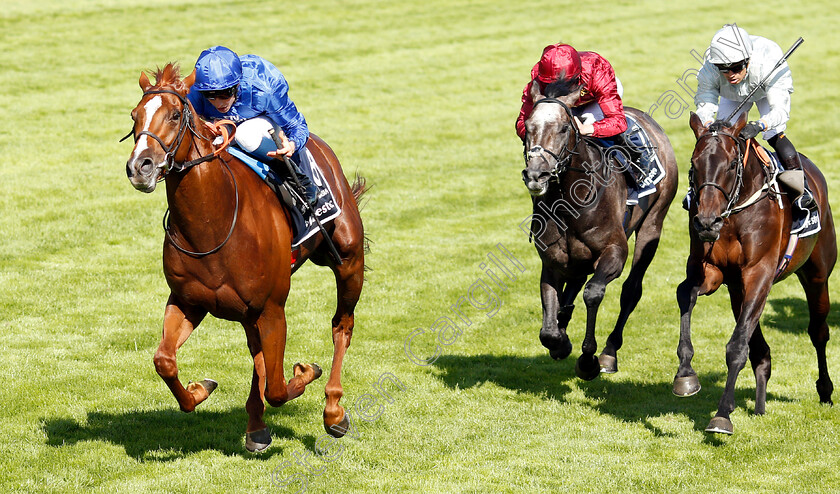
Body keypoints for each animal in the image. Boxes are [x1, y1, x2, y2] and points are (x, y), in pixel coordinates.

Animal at [122, 64, 368, 452]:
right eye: (134, 116)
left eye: (175, 115)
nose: (140, 166)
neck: (213, 222)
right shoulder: (188, 301)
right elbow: (164, 360)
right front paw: (199, 390)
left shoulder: (272, 308)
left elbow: (279, 388)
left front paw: (305, 371)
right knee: (258, 354)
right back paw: (256, 427)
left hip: (348, 261)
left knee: (341, 326)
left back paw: (333, 412)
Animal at [680, 111, 836, 432]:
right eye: (694, 164)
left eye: (730, 164)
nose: (706, 222)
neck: (735, 213)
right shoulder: (712, 271)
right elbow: (684, 293)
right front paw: (685, 374)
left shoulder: (759, 273)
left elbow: (737, 346)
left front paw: (722, 415)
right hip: (737, 291)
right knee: (761, 350)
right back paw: (761, 404)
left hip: (817, 274)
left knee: (818, 332)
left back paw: (825, 390)